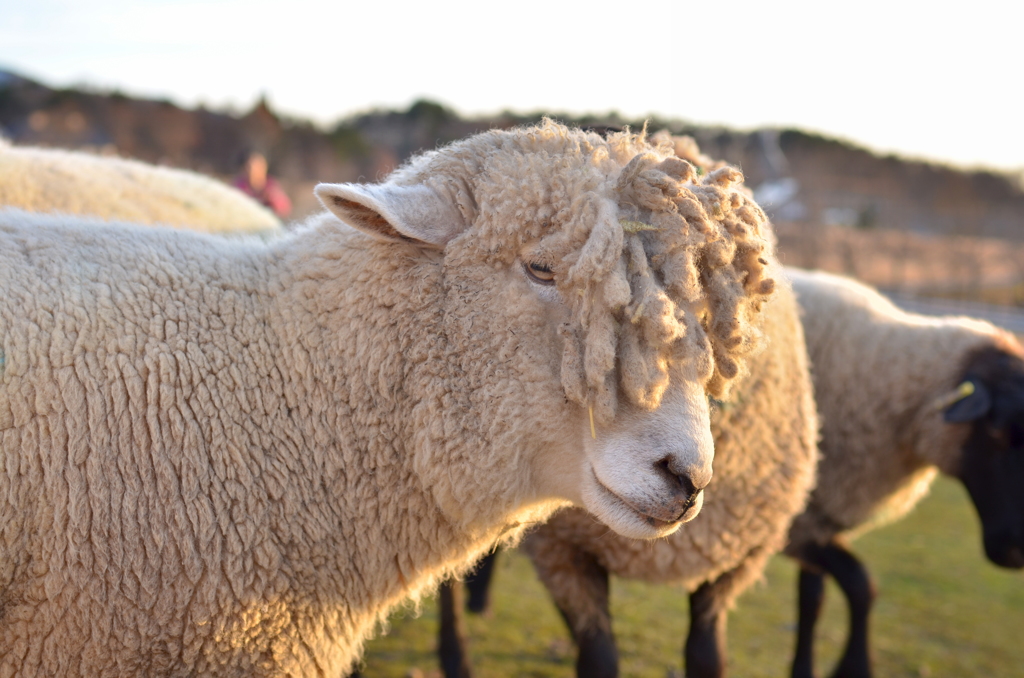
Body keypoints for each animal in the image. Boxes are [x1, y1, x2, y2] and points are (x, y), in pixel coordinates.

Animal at [782, 270, 1024, 678]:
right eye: (995, 431)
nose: (1016, 553)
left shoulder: (814, 519)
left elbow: (812, 599)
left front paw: (805, 669)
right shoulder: (794, 521)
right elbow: (862, 585)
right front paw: (854, 667)